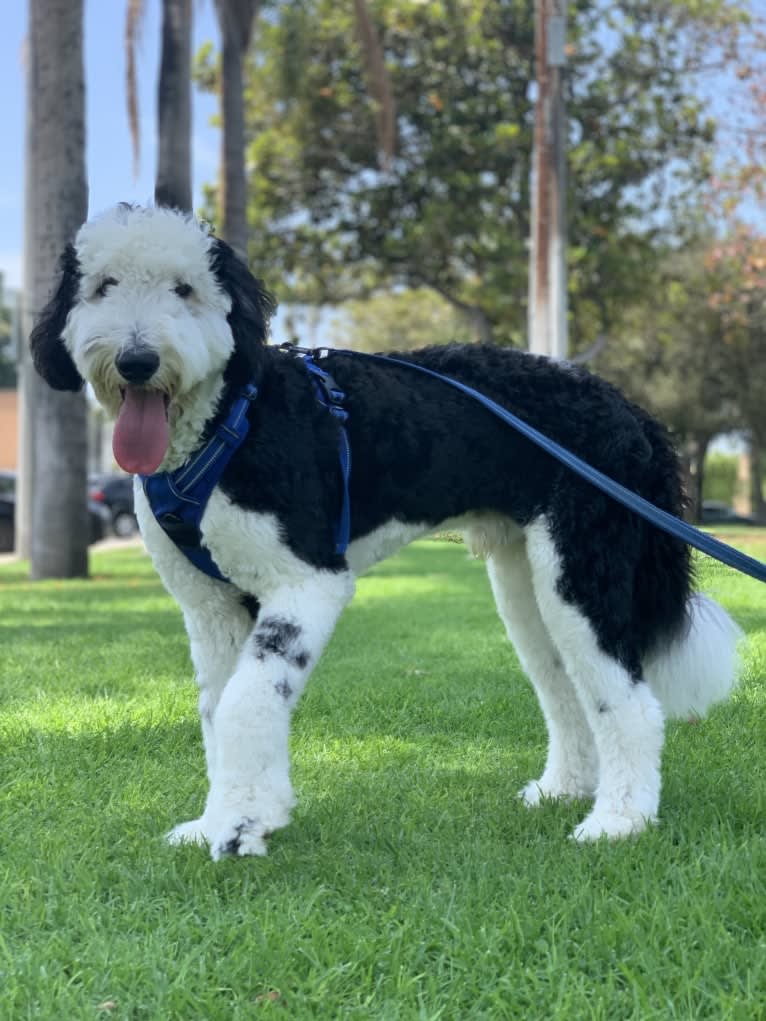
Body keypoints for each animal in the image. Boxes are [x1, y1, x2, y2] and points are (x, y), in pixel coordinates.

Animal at [31, 203, 743, 857]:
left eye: (184, 289)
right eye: (103, 286)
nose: (137, 360)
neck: (230, 421)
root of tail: (630, 412)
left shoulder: (308, 582)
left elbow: (245, 704)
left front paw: (239, 828)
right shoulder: (213, 608)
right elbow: (220, 709)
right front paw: (227, 818)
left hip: (581, 574)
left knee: (630, 703)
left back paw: (618, 821)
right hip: (526, 585)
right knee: (566, 687)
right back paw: (565, 789)